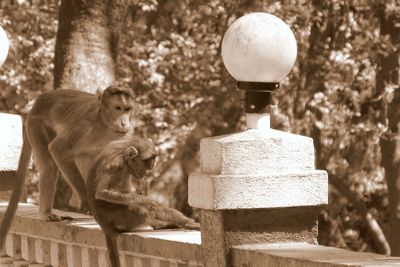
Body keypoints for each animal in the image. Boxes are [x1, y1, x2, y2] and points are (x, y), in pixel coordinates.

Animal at [0, 86, 136, 251]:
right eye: (118, 108)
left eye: (127, 109)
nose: (124, 122)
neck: (104, 124)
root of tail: (36, 105)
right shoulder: (83, 126)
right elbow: (58, 150)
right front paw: (87, 202)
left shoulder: (125, 134)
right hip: (37, 125)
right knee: (50, 166)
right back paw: (46, 213)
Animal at [86, 138, 200, 267]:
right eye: (144, 166)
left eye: (147, 167)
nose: (145, 173)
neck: (123, 150)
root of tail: (104, 224)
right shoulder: (116, 164)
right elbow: (102, 192)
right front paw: (188, 222)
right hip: (120, 217)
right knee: (142, 210)